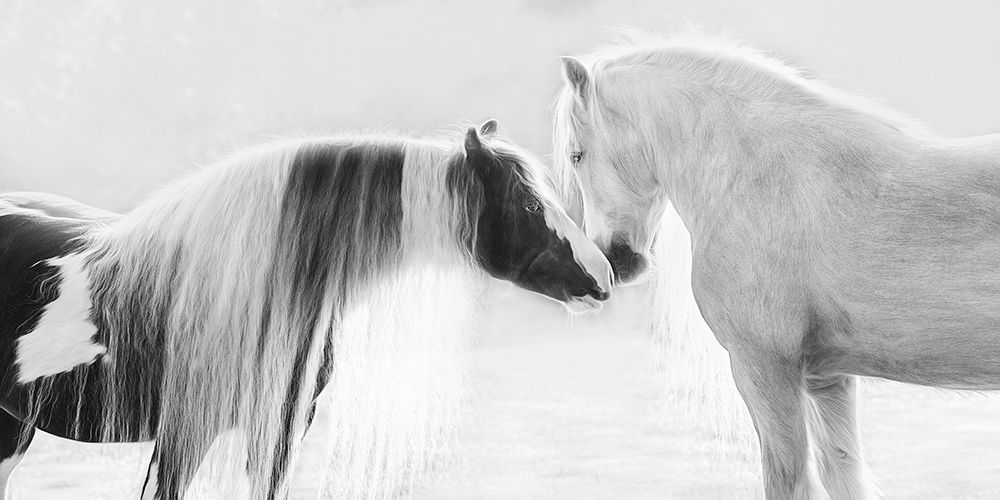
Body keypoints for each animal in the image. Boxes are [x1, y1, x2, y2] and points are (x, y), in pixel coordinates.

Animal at [553, 31, 1000, 499]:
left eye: (577, 156)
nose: (613, 259)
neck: (754, 179)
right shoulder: (827, 380)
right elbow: (842, 475)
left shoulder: (764, 368)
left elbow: (789, 480)